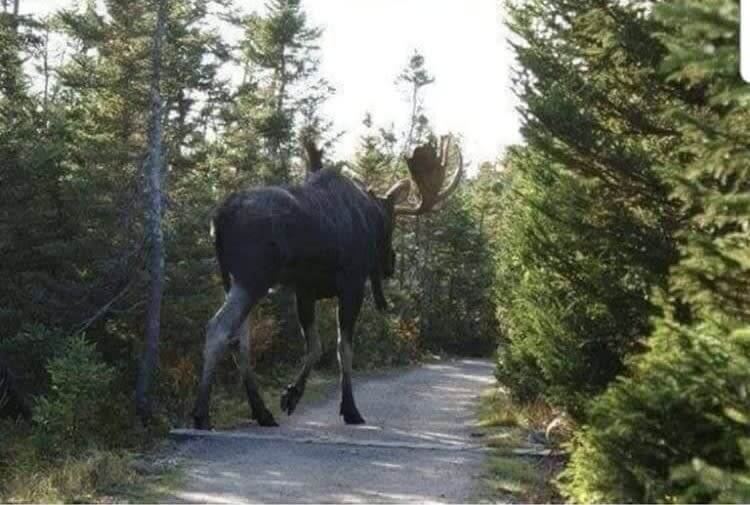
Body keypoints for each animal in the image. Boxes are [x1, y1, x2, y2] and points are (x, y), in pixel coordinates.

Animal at [192, 135, 464, 430]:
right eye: (391, 223)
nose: (390, 265)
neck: (369, 214)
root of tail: (218, 219)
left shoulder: (305, 290)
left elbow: (315, 347)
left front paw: (291, 395)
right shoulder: (351, 285)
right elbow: (343, 349)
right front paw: (350, 409)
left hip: (233, 280)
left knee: (240, 339)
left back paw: (262, 412)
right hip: (252, 278)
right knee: (219, 328)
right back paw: (201, 415)